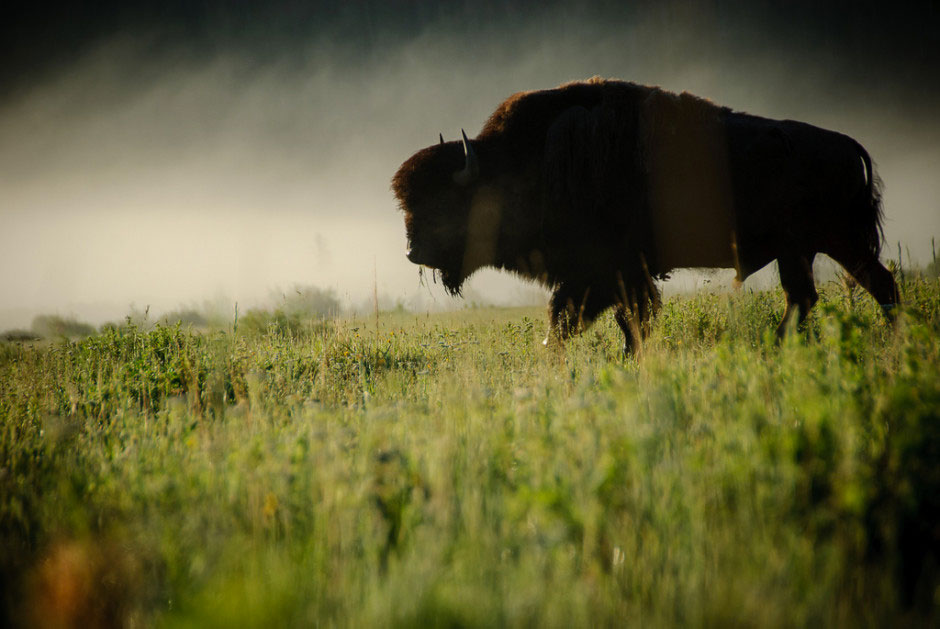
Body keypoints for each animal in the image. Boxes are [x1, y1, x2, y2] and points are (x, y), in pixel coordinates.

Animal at [392, 78, 900, 351]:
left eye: (446, 203)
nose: (414, 252)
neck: (520, 166)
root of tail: (847, 145)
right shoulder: (605, 277)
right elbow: (593, 322)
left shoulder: (607, 272)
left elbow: (598, 321)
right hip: (802, 250)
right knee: (811, 297)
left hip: (837, 241)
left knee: (876, 286)